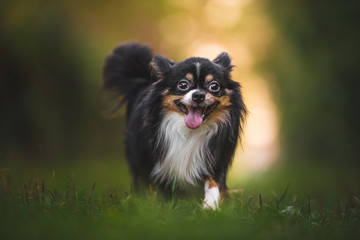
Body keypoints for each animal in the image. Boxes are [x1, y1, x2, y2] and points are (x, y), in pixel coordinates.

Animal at [102, 43, 246, 210]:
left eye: (214, 86)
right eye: (182, 84)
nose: (198, 95)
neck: (187, 130)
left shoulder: (215, 159)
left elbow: (214, 184)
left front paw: (210, 206)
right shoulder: (146, 161)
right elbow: (148, 188)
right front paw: (150, 208)